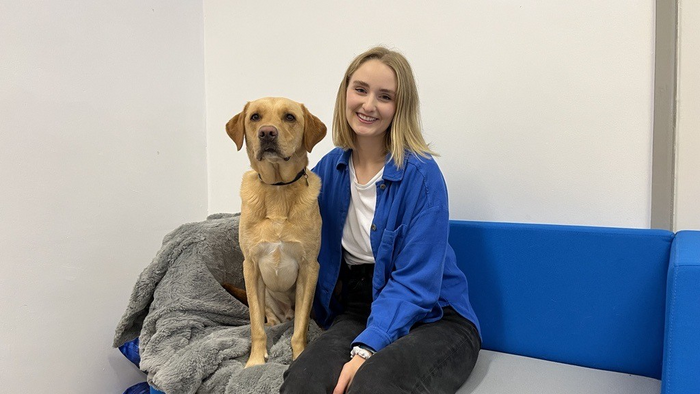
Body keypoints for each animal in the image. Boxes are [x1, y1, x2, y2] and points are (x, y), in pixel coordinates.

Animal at [226, 97, 326, 368]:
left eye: (290, 117)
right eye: (255, 117)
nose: (267, 133)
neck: (278, 189)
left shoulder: (309, 267)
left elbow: (300, 329)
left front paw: (299, 355)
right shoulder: (250, 266)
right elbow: (256, 326)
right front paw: (255, 361)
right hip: (266, 296)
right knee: (267, 320)